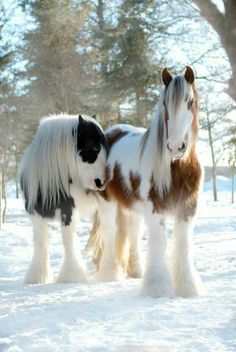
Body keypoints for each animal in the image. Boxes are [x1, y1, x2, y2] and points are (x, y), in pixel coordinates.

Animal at [19, 114, 108, 284]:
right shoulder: (36, 214)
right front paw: (38, 277)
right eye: (94, 147)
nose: (102, 182)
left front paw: (72, 276)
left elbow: (68, 239)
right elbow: (40, 241)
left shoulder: (69, 211)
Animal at [86, 66, 205, 296]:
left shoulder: (187, 209)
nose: (175, 147)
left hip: (133, 209)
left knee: (132, 233)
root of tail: (110, 132)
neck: (176, 169)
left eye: (189, 101)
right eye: (165, 104)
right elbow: (159, 244)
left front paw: (187, 288)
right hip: (107, 204)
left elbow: (183, 246)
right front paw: (157, 289)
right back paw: (110, 275)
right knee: (110, 233)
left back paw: (135, 272)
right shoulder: (154, 209)